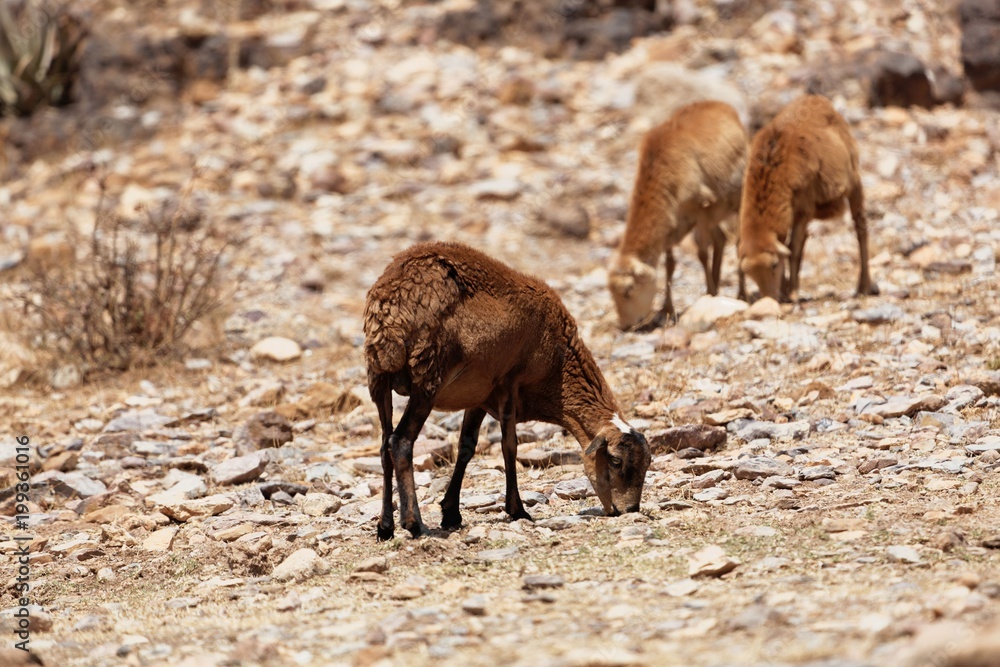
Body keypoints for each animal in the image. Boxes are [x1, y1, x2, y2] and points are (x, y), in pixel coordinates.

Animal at [364, 241, 651, 540]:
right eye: (616, 461)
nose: (628, 509)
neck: (558, 364)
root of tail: (391, 310)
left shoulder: (479, 396)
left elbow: (466, 446)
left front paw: (451, 512)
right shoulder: (509, 383)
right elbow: (509, 446)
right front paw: (517, 510)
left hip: (378, 379)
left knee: (384, 447)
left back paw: (385, 526)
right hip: (428, 376)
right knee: (400, 442)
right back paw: (413, 522)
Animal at [608, 100, 749, 330]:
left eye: (628, 291)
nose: (625, 326)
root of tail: (721, 105)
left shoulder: (701, 208)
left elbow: (702, 254)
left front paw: (710, 293)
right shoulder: (671, 226)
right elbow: (670, 265)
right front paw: (667, 309)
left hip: (736, 200)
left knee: (737, 243)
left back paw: (740, 294)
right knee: (721, 240)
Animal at [738, 94, 879, 302]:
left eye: (773, 265)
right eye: (748, 272)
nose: (769, 299)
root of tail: (815, 98)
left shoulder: (803, 208)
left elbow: (793, 249)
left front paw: (792, 293)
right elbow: (790, 246)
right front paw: (786, 290)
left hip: (854, 181)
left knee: (861, 229)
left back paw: (864, 286)